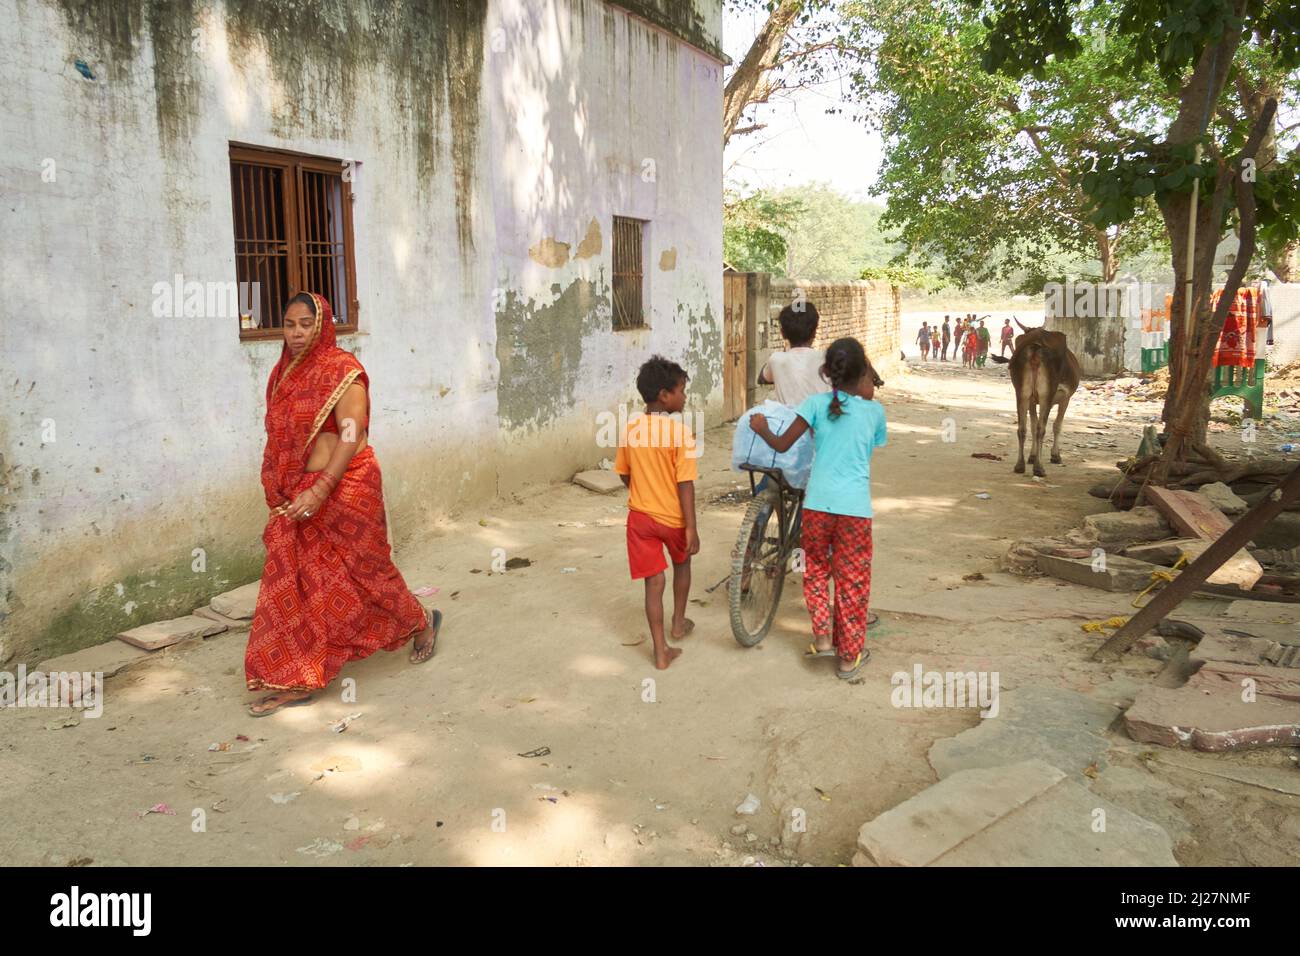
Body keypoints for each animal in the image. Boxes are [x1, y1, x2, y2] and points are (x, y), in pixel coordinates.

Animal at [987, 321, 1081, 478]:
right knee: (1041, 428)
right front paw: (1055, 456)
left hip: (1022, 393)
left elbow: (1032, 425)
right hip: (1045, 395)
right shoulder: (1065, 398)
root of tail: (1036, 342)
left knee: (1022, 428)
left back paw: (1020, 465)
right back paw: (1039, 468)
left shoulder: (1032, 400)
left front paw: (1032, 456)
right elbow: (1056, 426)